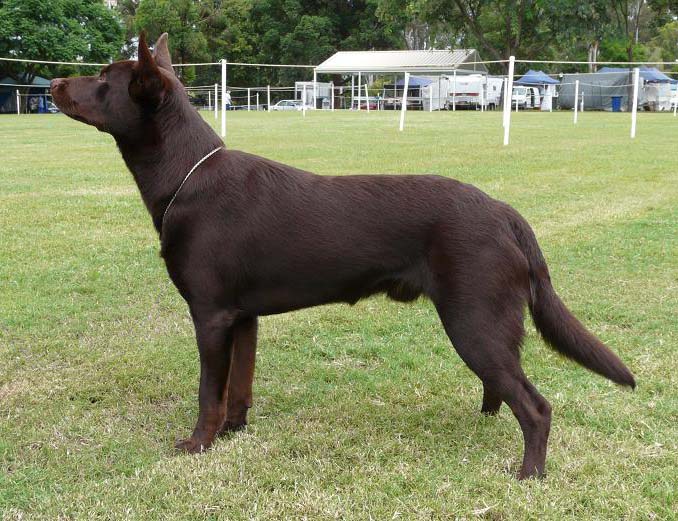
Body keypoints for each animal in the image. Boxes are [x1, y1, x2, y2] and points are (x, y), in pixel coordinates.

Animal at [51, 32, 635, 479]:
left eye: (102, 79)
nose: (54, 84)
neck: (186, 174)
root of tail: (504, 211)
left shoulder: (211, 315)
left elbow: (207, 391)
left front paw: (198, 444)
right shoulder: (243, 317)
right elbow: (239, 386)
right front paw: (235, 432)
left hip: (473, 318)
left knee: (536, 406)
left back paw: (529, 473)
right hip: (482, 322)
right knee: (504, 384)